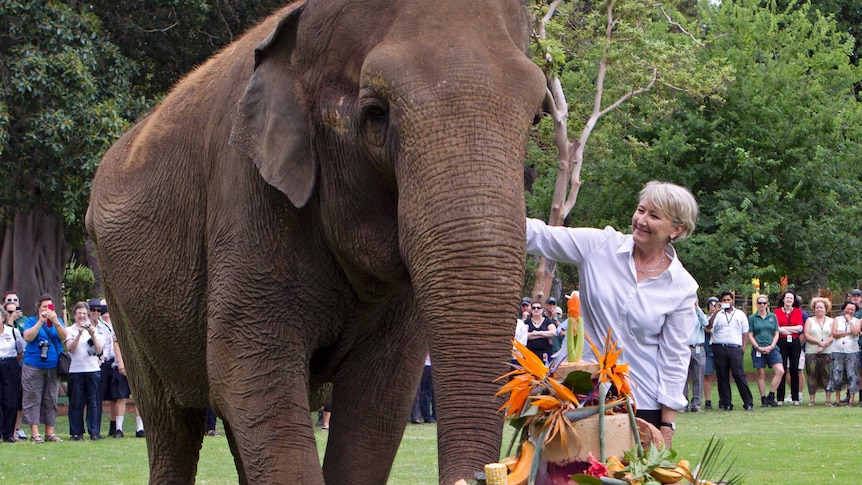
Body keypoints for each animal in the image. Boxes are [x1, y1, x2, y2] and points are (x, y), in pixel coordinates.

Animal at [86, 0, 548, 484]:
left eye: (537, 116)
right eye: (375, 111)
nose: (489, 471)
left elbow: (379, 397)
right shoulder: (246, 195)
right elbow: (248, 370)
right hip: (124, 303)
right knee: (171, 424)